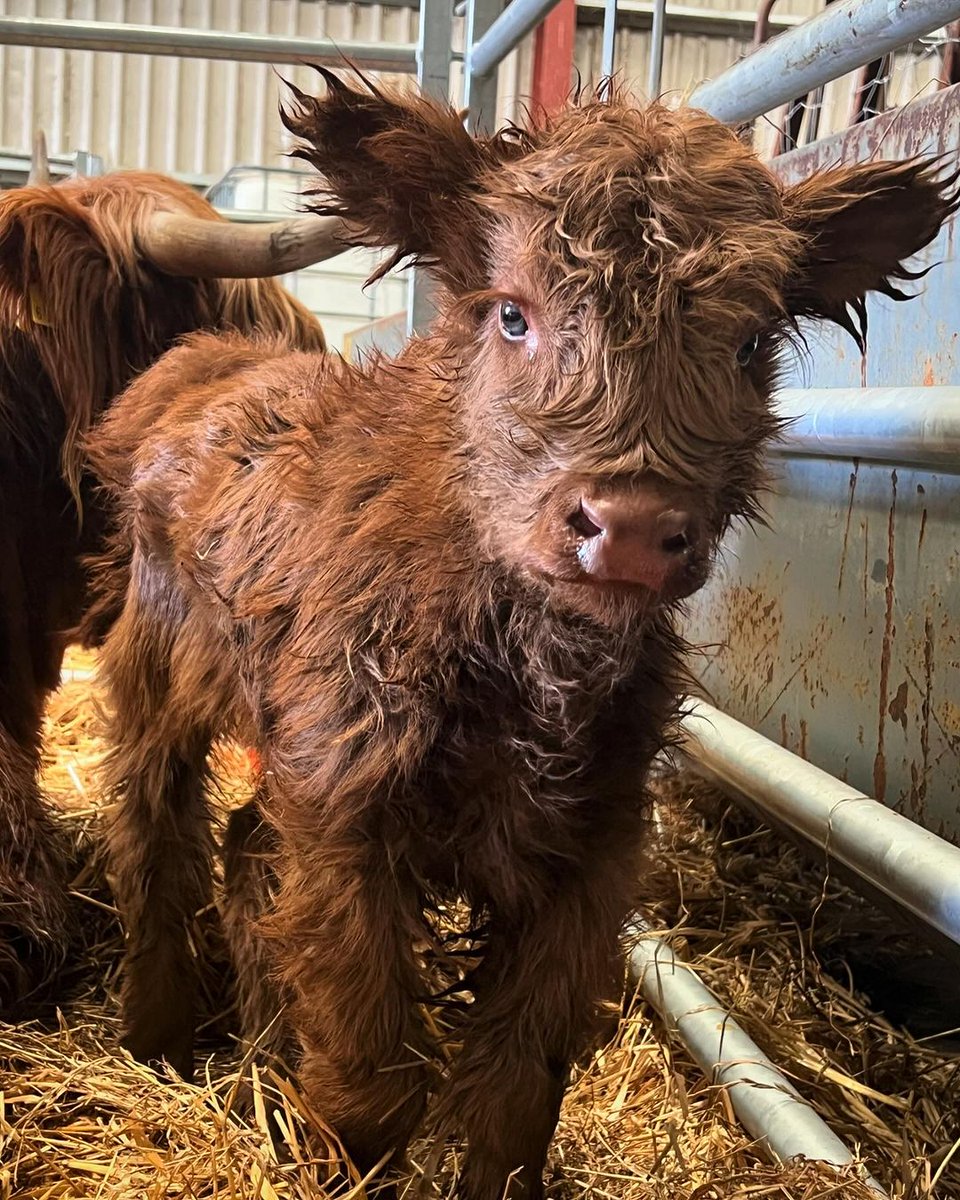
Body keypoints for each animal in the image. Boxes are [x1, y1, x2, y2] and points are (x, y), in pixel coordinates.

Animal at [86, 72, 955, 1200]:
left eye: (750, 342)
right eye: (511, 315)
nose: (628, 525)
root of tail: (199, 366)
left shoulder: (592, 846)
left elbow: (515, 1092)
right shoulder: (348, 811)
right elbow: (369, 1079)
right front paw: (335, 1155)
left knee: (242, 847)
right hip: (159, 674)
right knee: (156, 829)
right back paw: (157, 1039)